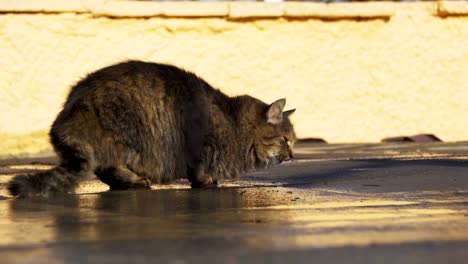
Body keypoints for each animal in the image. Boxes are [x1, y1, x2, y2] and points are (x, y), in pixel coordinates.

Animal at [7, 60, 296, 197]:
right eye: (286, 140)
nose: (293, 156)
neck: (234, 124)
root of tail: (72, 107)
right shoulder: (200, 144)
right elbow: (199, 169)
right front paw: (206, 181)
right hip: (129, 133)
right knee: (107, 166)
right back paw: (134, 181)